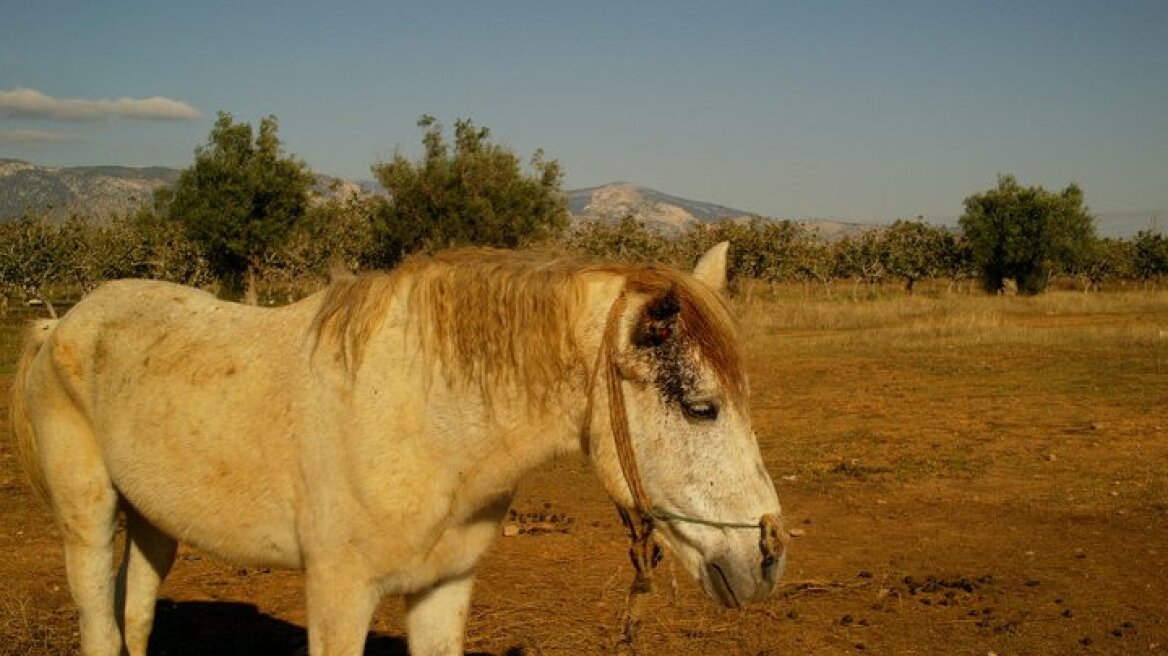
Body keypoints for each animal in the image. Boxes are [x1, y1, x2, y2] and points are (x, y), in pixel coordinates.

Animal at [11, 242, 784, 648]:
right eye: (701, 409)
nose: (768, 558)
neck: (424, 419)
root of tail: (62, 324)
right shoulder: (338, 595)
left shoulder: (443, 590)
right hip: (88, 519)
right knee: (99, 623)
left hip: (153, 524)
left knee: (134, 615)